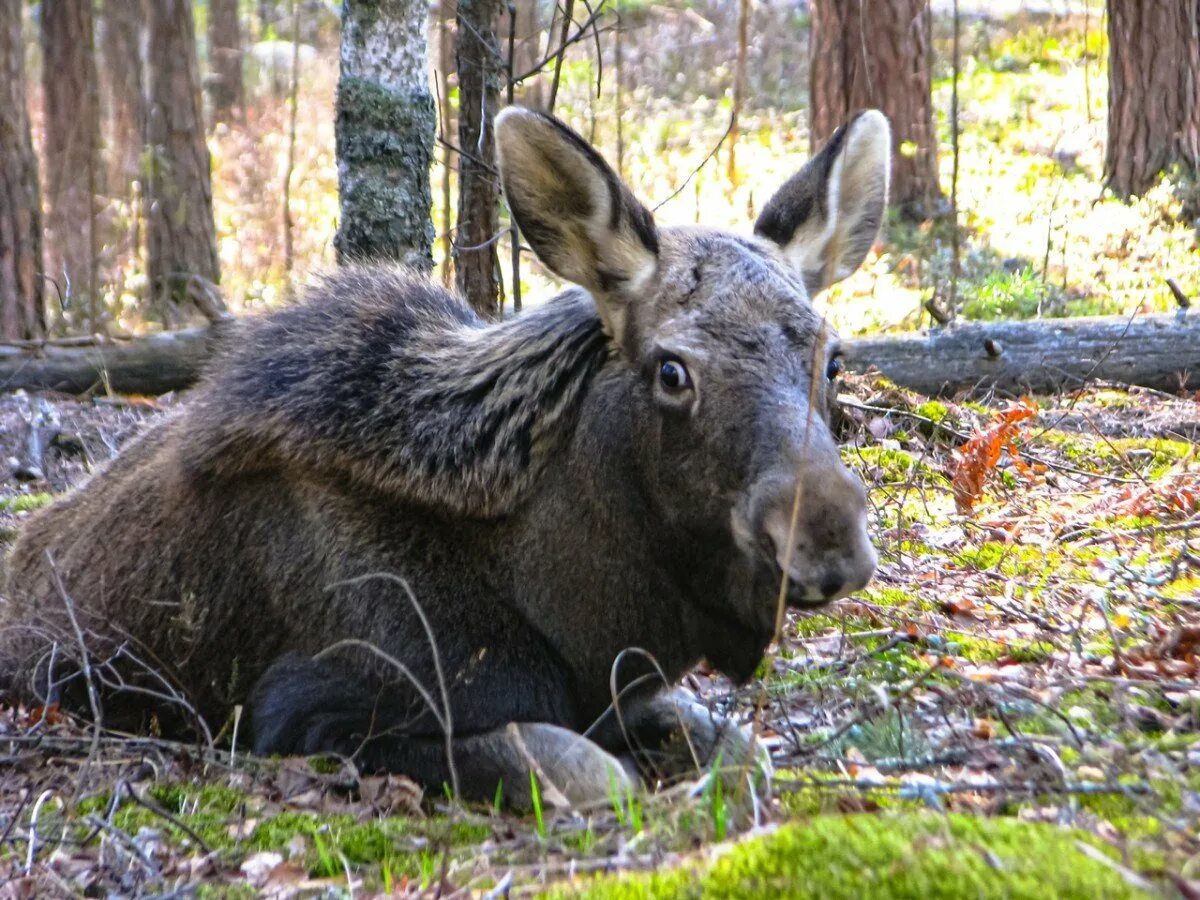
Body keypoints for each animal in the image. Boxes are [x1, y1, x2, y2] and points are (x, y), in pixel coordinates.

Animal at [2, 109, 892, 806]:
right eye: (673, 370)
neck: (578, 607)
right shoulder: (311, 705)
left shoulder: (617, 692)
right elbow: (588, 773)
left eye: (833, 358)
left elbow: (739, 753)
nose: (826, 536)